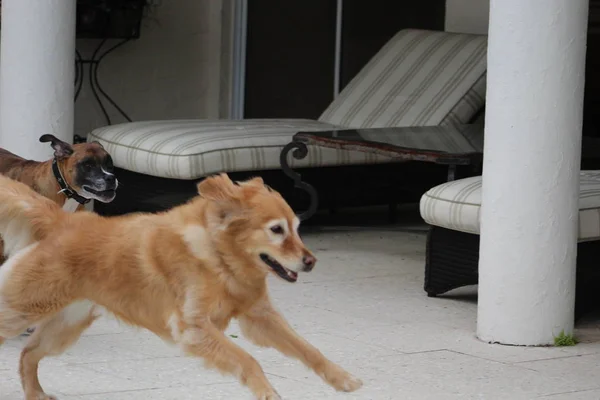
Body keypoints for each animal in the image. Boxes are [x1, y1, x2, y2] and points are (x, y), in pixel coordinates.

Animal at [0, 173, 360, 400]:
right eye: (276, 230)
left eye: (297, 228)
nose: (311, 262)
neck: (220, 257)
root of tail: (65, 220)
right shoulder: (194, 328)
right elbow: (248, 360)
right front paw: (267, 392)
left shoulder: (261, 317)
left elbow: (308, 349)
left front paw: (342, 378)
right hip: (22, 309)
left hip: (66, 325)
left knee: (28, 354)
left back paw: (34, 394)